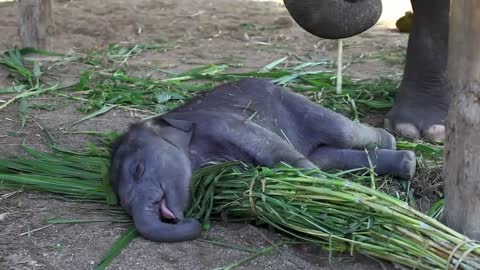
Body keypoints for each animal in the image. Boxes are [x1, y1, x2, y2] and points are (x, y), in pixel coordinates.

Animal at [109, 77, 416, 243]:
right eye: (121, 202)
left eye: (138, 170)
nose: (192, 221)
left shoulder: (224, 123)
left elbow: (277, 152)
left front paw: (330, 193)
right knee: (326, 154)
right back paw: (406, 163)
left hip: (293, 102)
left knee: (343, 132)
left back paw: (395, 146)